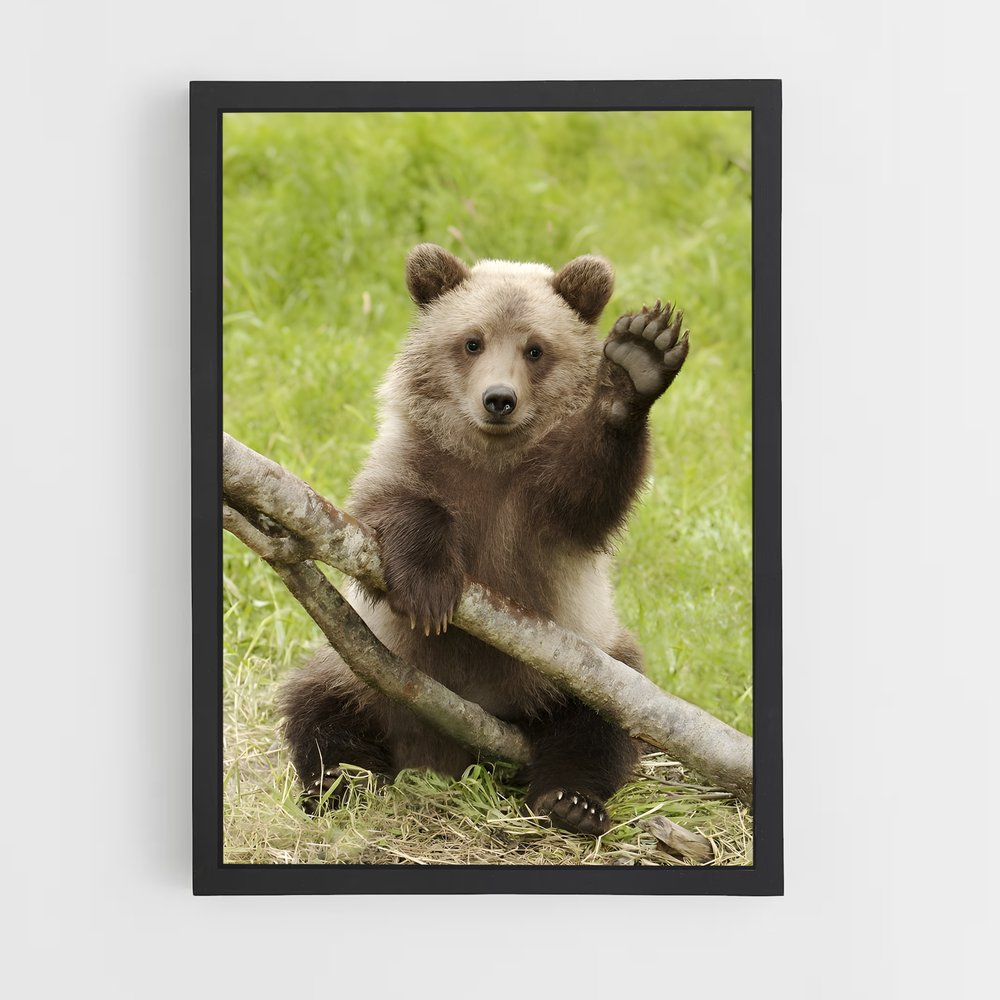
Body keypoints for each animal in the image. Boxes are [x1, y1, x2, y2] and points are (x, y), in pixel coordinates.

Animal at [279, 243, 689, 836]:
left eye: (535, 349)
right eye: (472, 341)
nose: (499, 399)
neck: (490, 459)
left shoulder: (540, 504)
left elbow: (590, 491)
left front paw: (636, 362)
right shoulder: (413, 461)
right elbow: (388, 516)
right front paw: (429, 590)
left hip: (579, 665)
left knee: (600, 721)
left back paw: (570, 801)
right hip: (364, 671)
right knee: (320, 709)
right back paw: (339, 785)